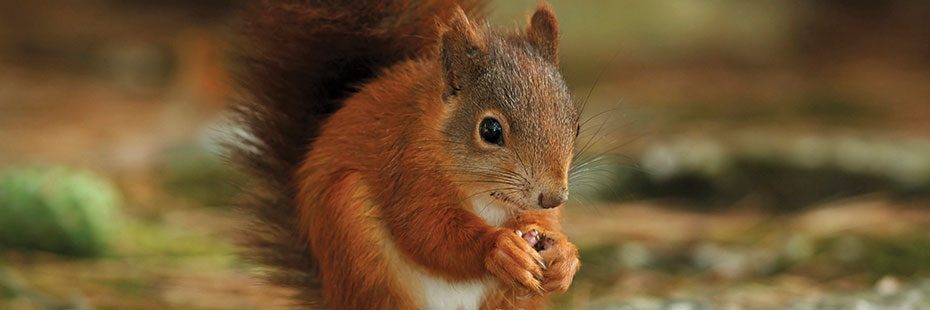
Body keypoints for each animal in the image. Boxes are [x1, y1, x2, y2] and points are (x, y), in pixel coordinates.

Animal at [231, 1, 576, 308]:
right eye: (490, 130)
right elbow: (425, 231)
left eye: (573, 122)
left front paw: (564, 255)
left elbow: (542, 221)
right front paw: (500, 248)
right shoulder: (406, 166)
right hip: (358, 248)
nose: (553, 197)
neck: (483, 193)